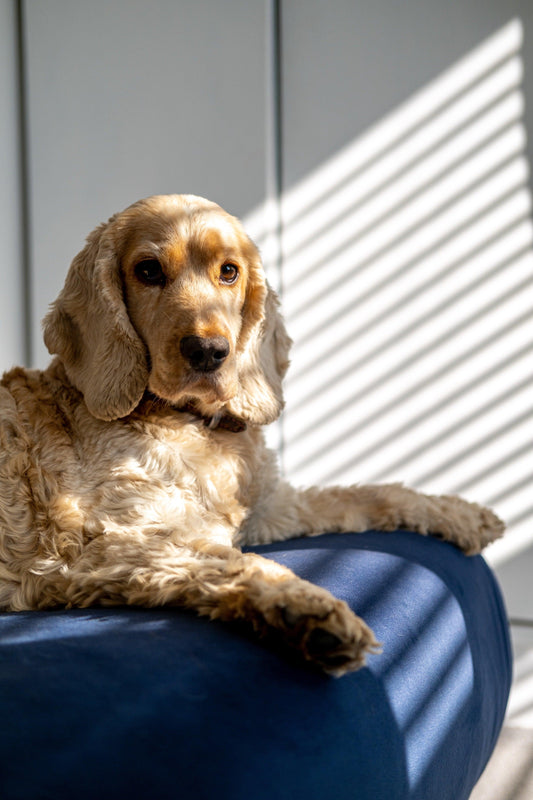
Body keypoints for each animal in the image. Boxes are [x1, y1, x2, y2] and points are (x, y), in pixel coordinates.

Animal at [0, 194, 502, 676]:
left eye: (229, 271)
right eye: (147, 271)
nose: (208, 352)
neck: (194, 424)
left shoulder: (269, 508)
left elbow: (366, 496)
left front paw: (459, 514)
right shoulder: (106, 546)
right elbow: (241, 562)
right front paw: (310, 613)